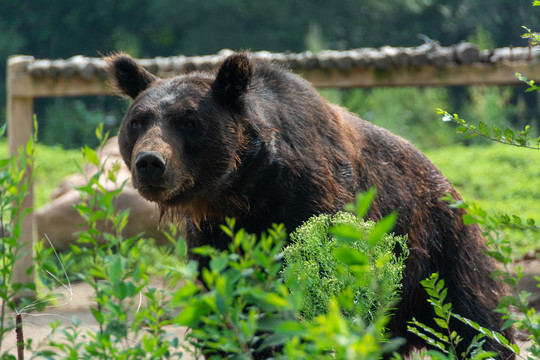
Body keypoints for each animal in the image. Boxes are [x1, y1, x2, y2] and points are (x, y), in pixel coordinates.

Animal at [105, 52, 516, 358]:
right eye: (138, 121)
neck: (243, 190)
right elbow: (222, 303)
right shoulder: (214, 235)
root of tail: (450, 186)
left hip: (439, 249)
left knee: (473, 318)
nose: (150, 163)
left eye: (188, 121)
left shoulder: (314, 200)